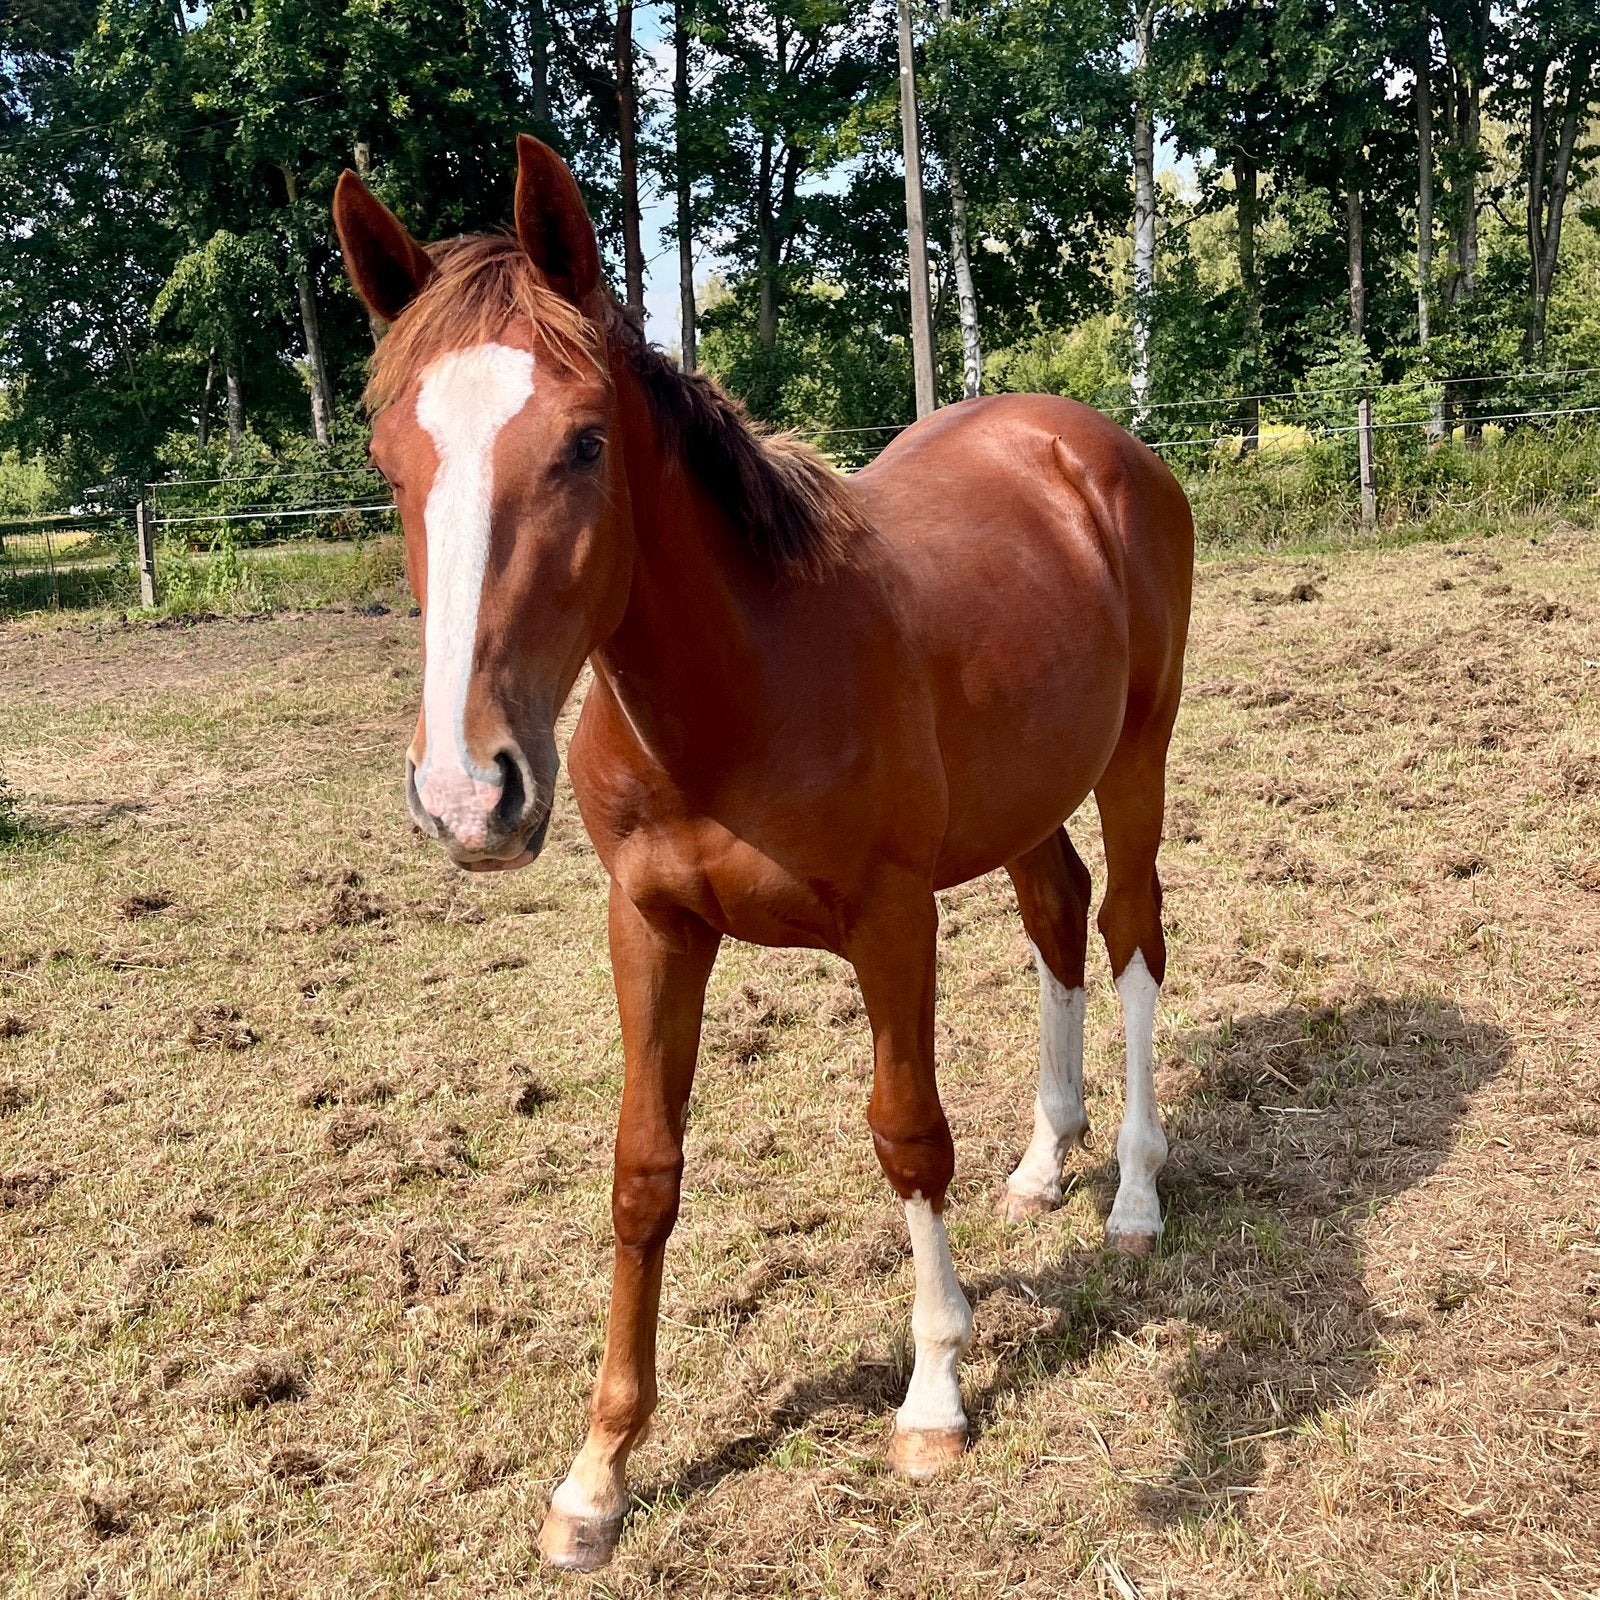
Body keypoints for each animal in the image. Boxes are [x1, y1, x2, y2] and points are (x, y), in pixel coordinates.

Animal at [333, 135, 1194, 1572]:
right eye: (391, 459)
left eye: (583, 443)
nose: (467, 791)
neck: (741, 687)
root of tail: (1092, 445)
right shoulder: (650, 924)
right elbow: (643, 1171)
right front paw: (598, 1471)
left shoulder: (891, 921)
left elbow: (907, 1135)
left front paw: (933, 1396)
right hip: (1022, 800)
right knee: (1057, 916)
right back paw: (1041, 1166)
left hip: (1135, 759)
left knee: (1130, 937)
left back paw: (1132, 1195)